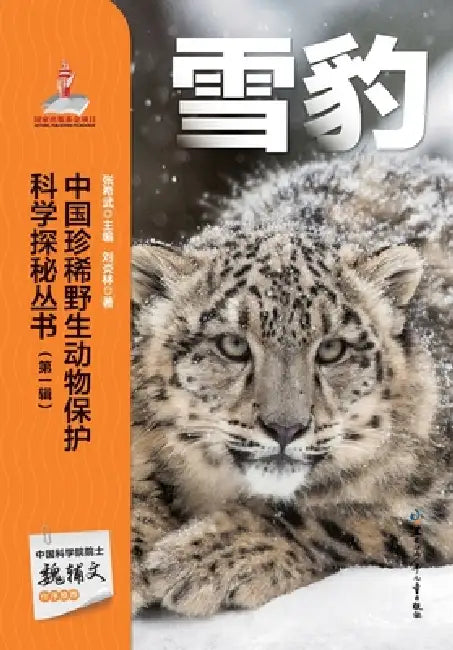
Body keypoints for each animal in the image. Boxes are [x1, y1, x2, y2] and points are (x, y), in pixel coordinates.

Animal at [132, 154, 453, 617]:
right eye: (232, 345)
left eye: (333, 348)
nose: (286, 428)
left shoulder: (437, 504)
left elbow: (346, 519)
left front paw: (205, 558)